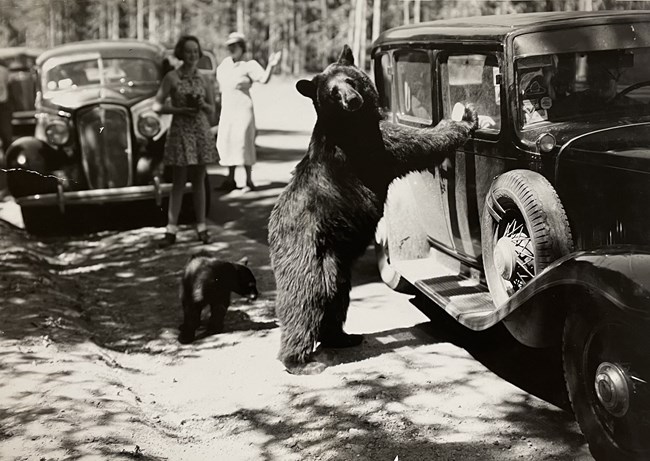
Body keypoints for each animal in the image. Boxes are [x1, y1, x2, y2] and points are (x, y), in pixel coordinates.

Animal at [268, 45, 478, 374]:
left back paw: (342, 336)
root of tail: (273, 228)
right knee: (305, 297)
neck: (351, 123)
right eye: (332, 92)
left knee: (336, 293)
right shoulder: (372, 146)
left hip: (335, 258)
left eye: (350, 79)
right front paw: (464, 117)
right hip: (305, 249)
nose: (352, 100)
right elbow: (418, 142)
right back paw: (299, 360)